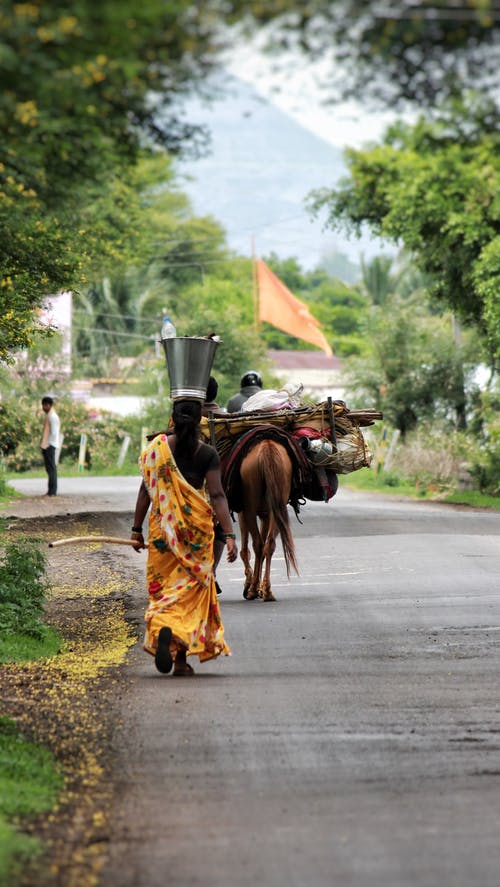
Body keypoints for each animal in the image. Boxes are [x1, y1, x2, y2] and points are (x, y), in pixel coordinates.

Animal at [237, 438, 296, 604]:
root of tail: (267, 447)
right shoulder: (265, 514)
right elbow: (263, 547)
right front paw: (259, 587)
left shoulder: (242, 511)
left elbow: (245, 550)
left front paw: (250, 584)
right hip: (278, 505)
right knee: (269, 544)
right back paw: (268, 591)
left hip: (250, 508)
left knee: (257, 545)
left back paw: (252, 591)